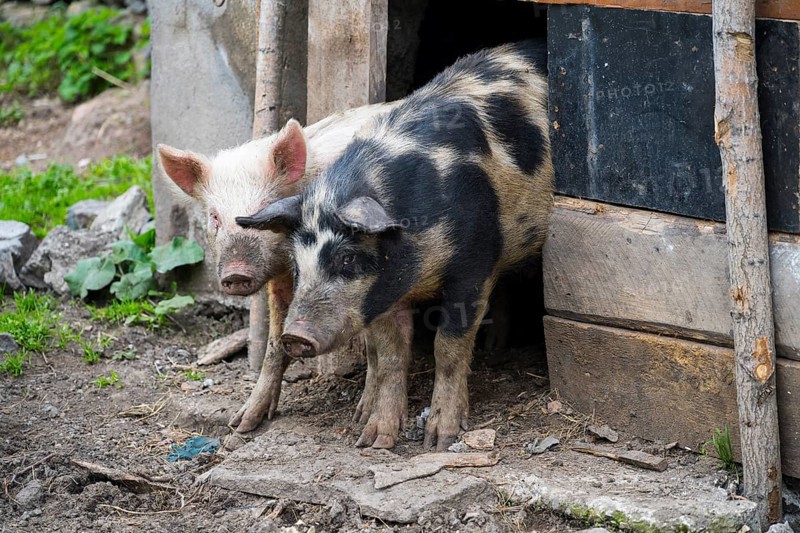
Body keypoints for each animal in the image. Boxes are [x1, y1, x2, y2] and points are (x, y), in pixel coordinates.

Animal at [156, 101, 396, 432]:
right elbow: (274, 342)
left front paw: (361, 417)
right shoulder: (281, 278)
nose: (236, 272)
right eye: (215, 216)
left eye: (263, 209)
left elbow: (376, 347)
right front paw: (242, 423)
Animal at [237, 41, 553, 450]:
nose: (296, 335)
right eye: (296, 265)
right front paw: (373, 440)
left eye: (347, 257)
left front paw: (440, 439)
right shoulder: (383, 292)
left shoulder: (475, 263)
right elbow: (390, 356)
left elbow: (447, 347)